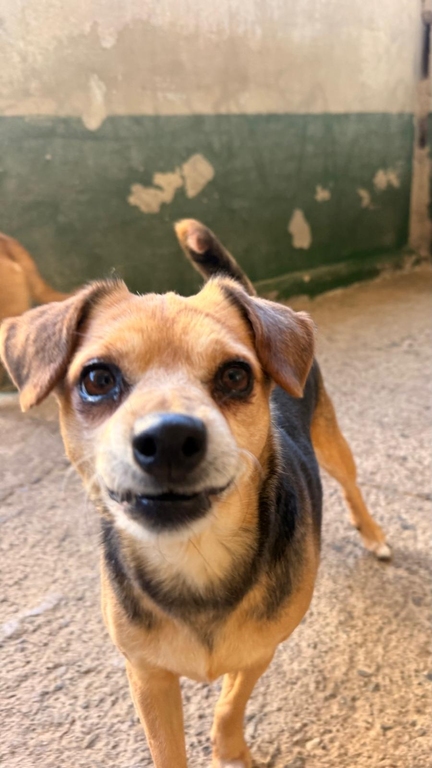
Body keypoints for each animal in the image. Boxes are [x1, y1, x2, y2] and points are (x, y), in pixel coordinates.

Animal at [0, 220, 390, 768]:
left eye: (236, 375)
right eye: (97, 379)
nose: (168, 438)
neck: (195, 558)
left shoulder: (258, 654)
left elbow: (230, 705)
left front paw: (230, 751)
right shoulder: (147, 676)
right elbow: (167, 747)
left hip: (331, 441)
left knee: (352, 486)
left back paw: (372, 534)